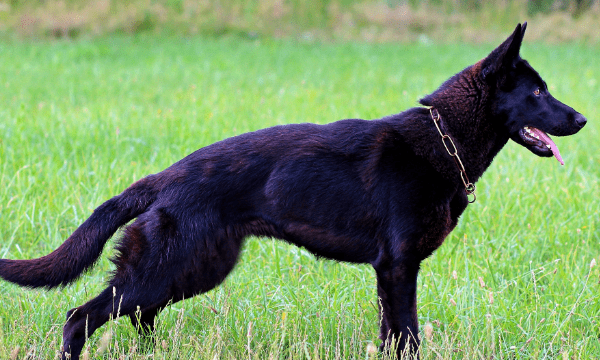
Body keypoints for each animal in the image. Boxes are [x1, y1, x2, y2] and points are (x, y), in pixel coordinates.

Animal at [0, 23, 584, 358]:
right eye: (537, 92)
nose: (581, 119)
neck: (442, 142)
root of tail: (163, 177)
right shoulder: (398, 268)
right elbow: (409, 335)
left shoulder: (390, 274)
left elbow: (393, 335)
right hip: (165, 270)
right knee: (81, 317)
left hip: (191, 269)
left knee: (138, 316)